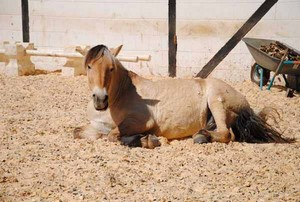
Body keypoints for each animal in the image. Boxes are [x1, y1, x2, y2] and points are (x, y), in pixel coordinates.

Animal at [74, 44, 292, 148]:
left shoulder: (141, 122)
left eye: (111, 68)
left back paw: (202, 136)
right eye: (89, 66)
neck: (119, 97)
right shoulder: (96, 125)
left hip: (216, 100)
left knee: (226, 134)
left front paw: (147, 140)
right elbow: (79, 132)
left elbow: (113, 135)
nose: (100, 100)